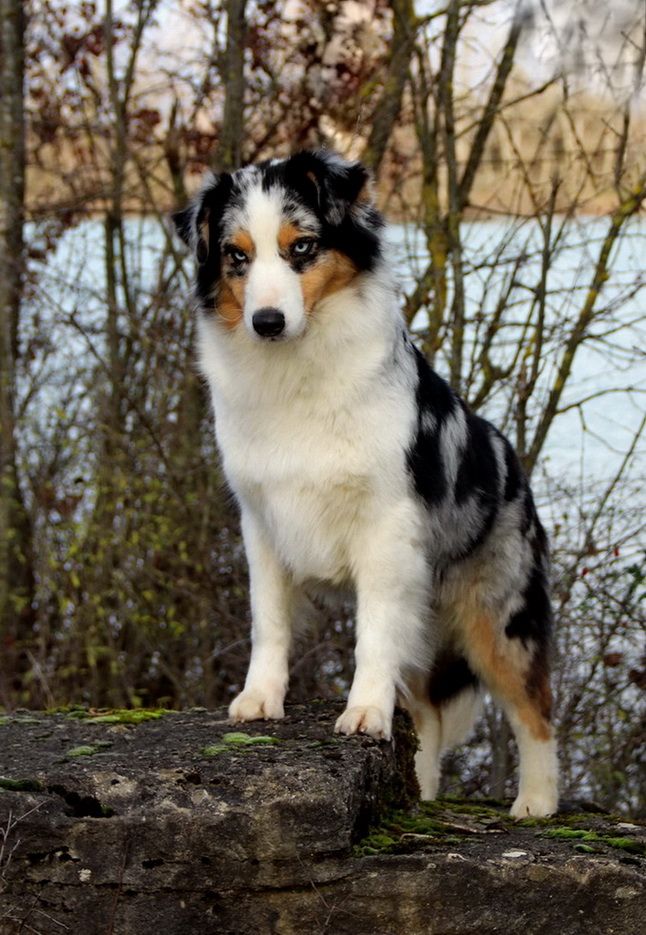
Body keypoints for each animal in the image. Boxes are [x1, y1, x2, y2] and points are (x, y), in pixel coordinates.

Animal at [175, 148, 560, 820]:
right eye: (236, 256)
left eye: (302, 247)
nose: (266, 322)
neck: (297, 371)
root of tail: (515, 467)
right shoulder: (262, 521)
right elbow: (268, 620)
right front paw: (260, 698)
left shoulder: (386, 533)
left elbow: (372, 636)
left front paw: (364, 713)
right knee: (428, 718)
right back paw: (423, 797)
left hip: (496, 613)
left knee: (533, 707)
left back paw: (537, 801)